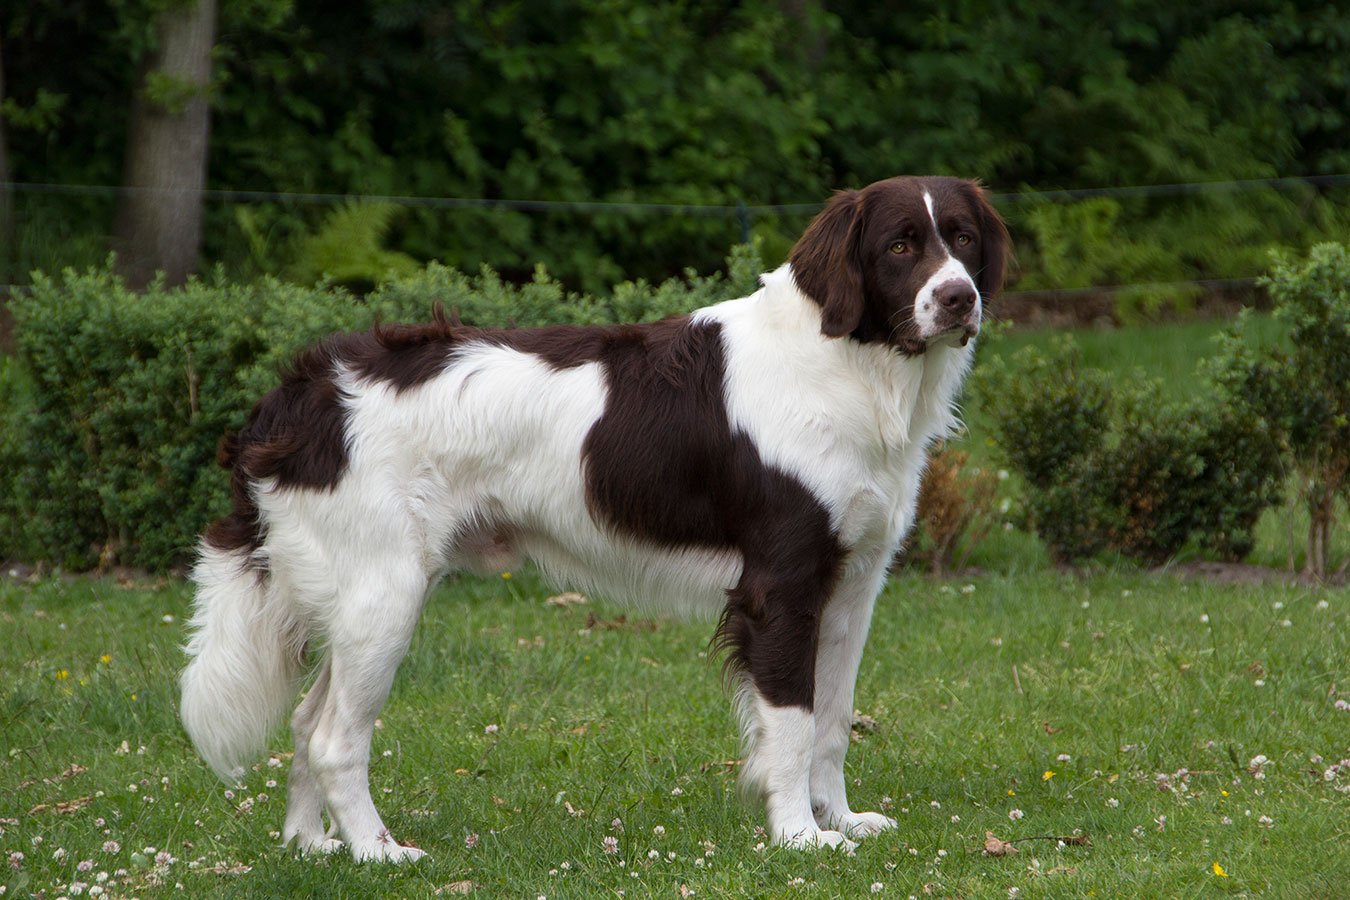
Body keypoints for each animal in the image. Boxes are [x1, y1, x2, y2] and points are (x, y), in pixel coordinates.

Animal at [179, 174, 1009, 858]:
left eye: (963, 238)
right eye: (900, 245)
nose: (959, 298)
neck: (850, 365)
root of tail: (301, 392)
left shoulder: (850, 588)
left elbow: (833, 721)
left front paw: (840, 821)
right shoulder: (780, 588)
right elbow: (793, 722)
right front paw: (799, 836)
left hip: (359, 597)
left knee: (303, 721)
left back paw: (312, 846)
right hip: (383, 595)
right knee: (331, 738)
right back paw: (378, 853)